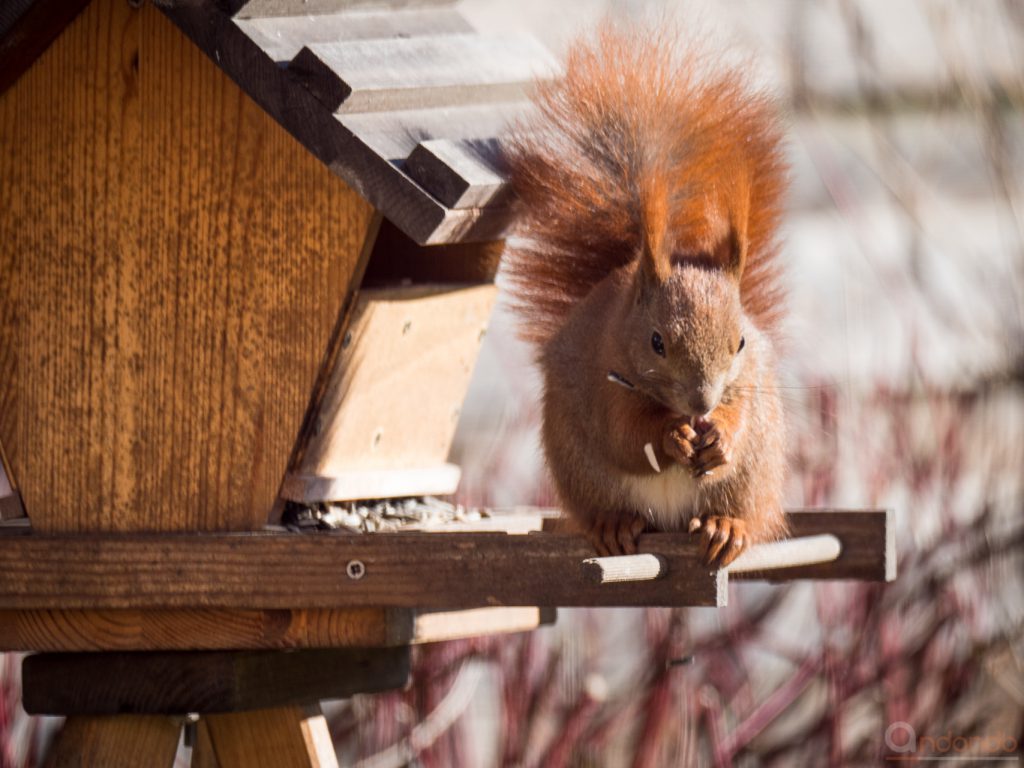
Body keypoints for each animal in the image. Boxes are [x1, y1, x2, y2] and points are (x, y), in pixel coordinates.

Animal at [503, 24, 790, 569]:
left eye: (741, 343)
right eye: (657, 342)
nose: (701, 403)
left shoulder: (749, 381)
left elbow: (738, 417)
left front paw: (719, 437)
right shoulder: (604, 379)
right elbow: (626, 436)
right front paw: (669, 437)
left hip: (756, 475)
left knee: (745, 508)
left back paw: (726, 527)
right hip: (581, 471)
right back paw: (614, 525)